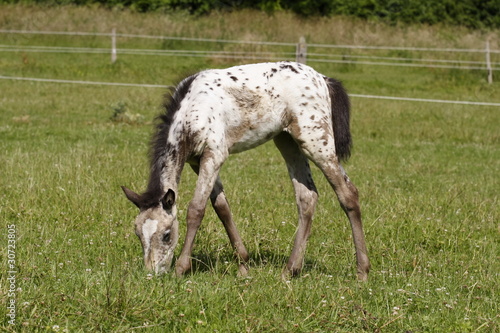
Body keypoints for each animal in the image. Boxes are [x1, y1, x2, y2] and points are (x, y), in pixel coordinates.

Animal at [122, 61, 370, 278]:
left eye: (166, 235)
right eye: (138, 234)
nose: (152, 274)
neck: (192, 110)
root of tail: (323, 79)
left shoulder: (214, 155)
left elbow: (196, 210)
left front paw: (181, 269)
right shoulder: (197, 161)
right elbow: (222, 208)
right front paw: (243, 266)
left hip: (317, 143)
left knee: (348, 193)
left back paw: (362, 272)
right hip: (287, 142)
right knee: (307, 197)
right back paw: (289, 271)